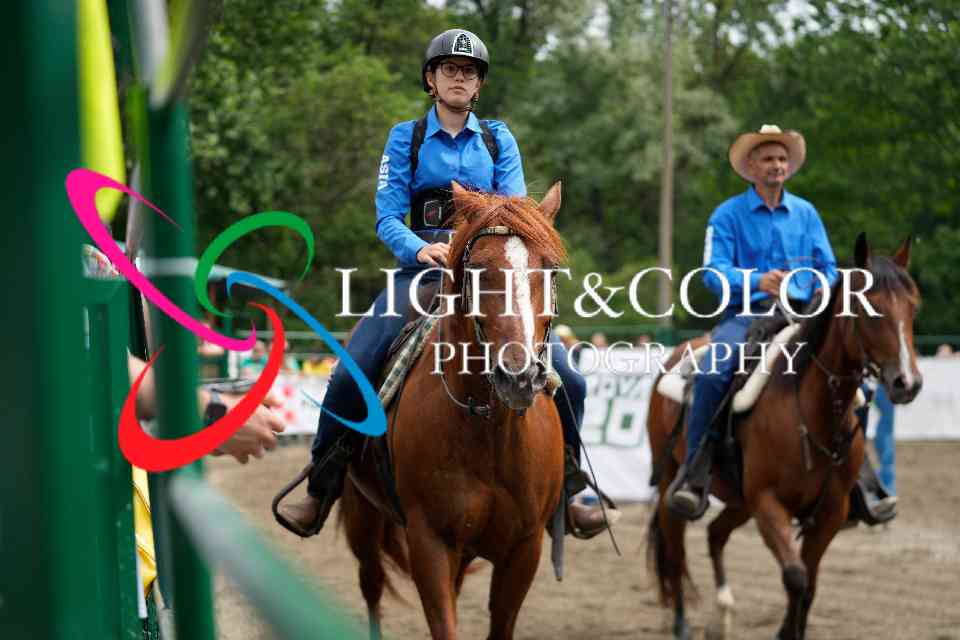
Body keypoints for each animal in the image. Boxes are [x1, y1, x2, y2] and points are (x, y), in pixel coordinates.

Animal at [338, 182, 568, 640]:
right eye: (476, 269)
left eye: (549, 269)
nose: (519, 376)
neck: (487, 429)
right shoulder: (430, 543)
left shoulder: (524, 548)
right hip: (363, 518)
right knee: (372, 586)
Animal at [646, 234, 922, 640]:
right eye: (870, 308)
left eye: (913, 308)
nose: (908, 382)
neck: (811, 410)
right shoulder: (767, 502)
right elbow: (795, 577)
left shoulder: (830, 512)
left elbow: (810, 586)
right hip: (672, 481)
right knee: (675, 548)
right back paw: (682, 624)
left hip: (739, 499)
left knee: (715, 534)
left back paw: (723, 614)